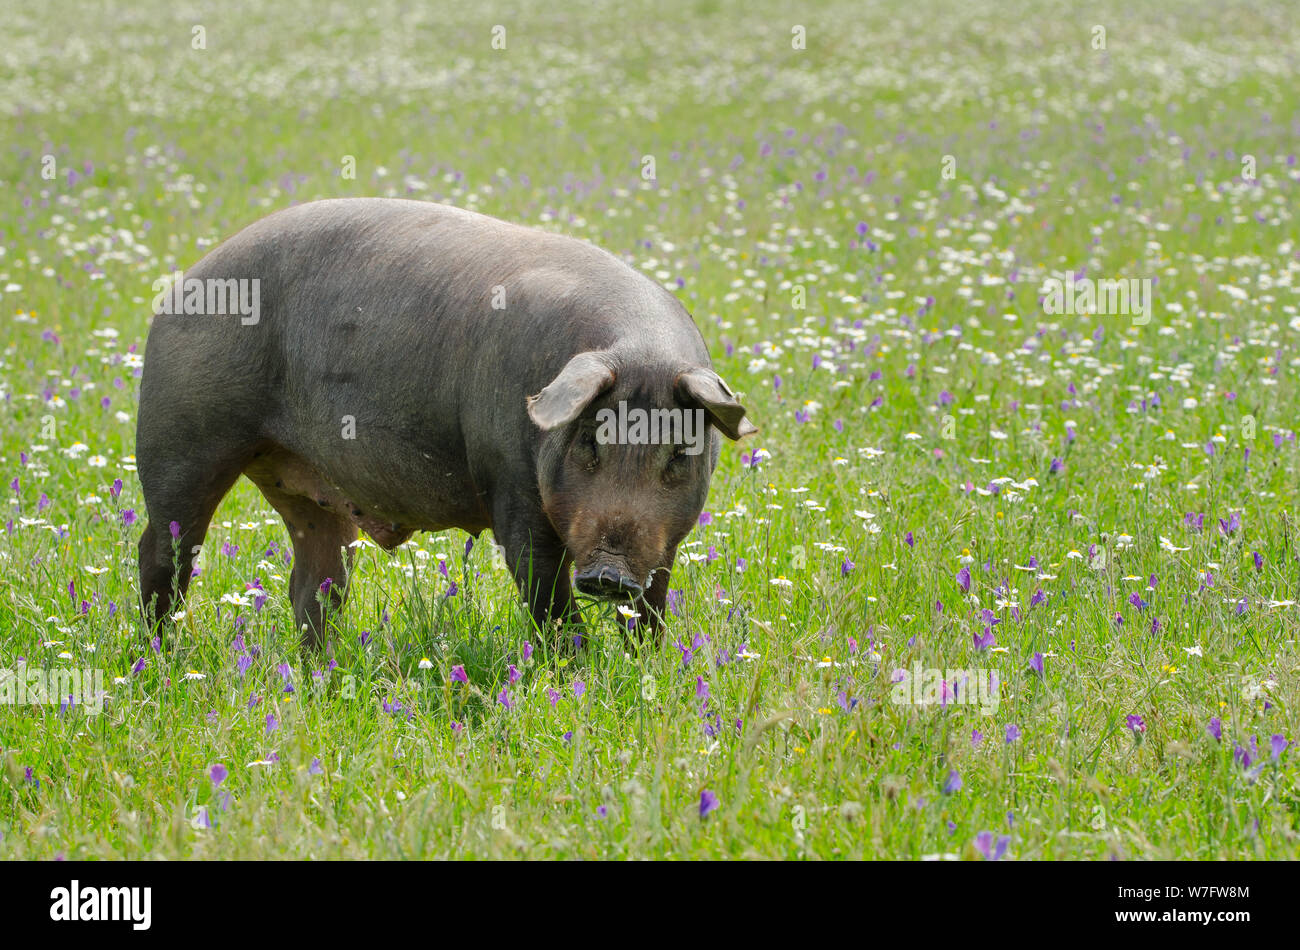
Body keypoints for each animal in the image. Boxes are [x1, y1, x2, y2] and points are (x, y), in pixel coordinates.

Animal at [134, 197, 754, 649]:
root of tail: (186, 282)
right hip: (179, 438)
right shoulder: (509, 484)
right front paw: (574, 673)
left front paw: (646, 662)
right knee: (163, 552)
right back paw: (161, 657)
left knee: (315, 582)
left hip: (307, 491)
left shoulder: (664, 537)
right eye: (588, 443)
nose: (608, 574)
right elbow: (547, 599)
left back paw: (320, 670)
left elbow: (653, 602)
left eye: (678, 454)